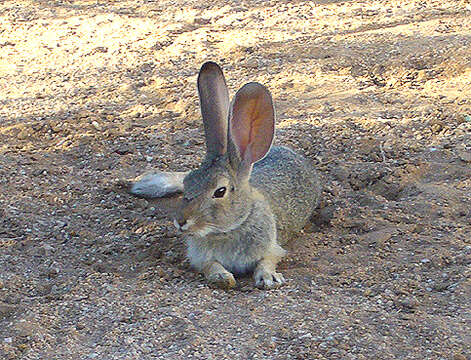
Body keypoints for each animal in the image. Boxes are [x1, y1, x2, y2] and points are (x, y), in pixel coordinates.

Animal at [128, 60, 320, 288]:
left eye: (220, 191)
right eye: (188, 184)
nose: (181, 221)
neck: (229, 228)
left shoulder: (272, 247)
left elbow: (268, 260)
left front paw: (267, 278)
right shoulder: (200, 258)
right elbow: (210, 266)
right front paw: (222, 278)